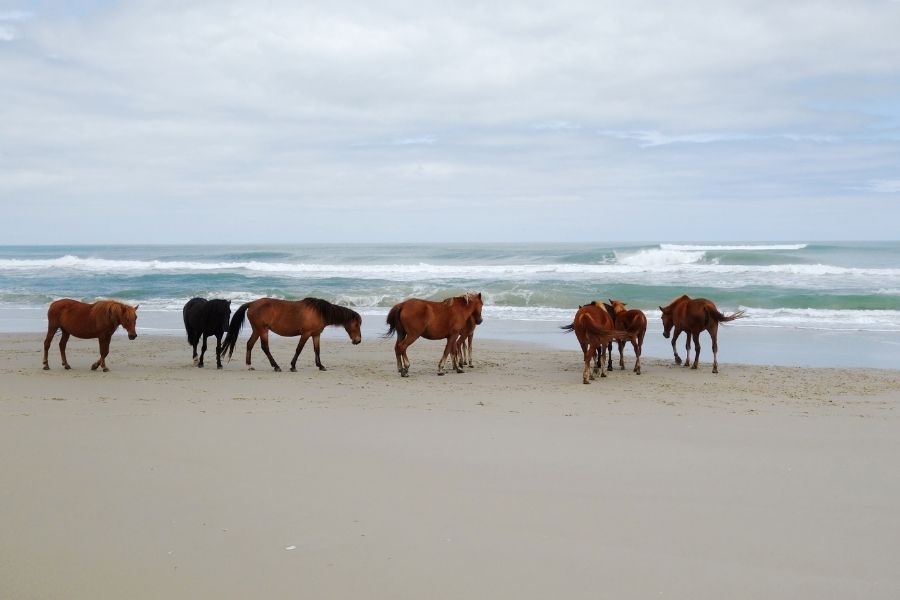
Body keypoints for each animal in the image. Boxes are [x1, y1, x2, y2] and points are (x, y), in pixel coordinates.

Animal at [219, 297, 361, 372]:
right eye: (356, 325)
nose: (358, 340)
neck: (319, 312)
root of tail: (251, 304)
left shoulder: (316, 335)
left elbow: (317, 350)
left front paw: (320, 366)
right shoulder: (306, 334)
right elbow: (299, 349)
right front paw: (293, 366)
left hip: (257, 330)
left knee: (250, 344)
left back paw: (249, 365)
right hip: (263, 330)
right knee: (265, 347)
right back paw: (276, 366)